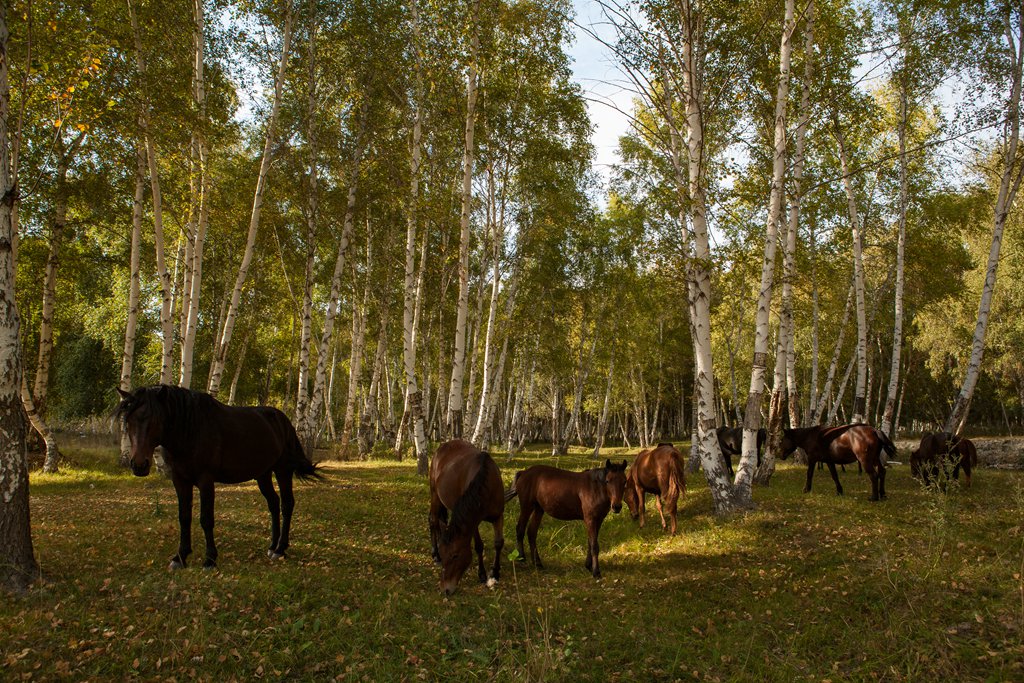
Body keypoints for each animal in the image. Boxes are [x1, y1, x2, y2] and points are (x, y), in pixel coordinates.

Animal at [115, 385, 319, 573]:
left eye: (155, 419)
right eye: (128, 421)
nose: (139, 465)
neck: (190, 431)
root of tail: (284, 421)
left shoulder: (206, 481)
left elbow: (206, 519)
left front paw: (210, 560)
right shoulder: (180, 481)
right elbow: (184, 517)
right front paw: (180, 557)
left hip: (283, 470)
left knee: (287, 504)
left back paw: (280, 549)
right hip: (263, 474)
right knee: (274, 503)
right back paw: (272, 546)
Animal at [425, 440, 505, 593]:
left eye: (455, 555)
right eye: (445, 555)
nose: (445, 589)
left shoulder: (498, 516)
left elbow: (498, 543)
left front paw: (495, 573)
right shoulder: (473, 522)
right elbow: (479, 545)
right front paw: (482, 574)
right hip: (434, 494)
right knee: (433, 520)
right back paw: (435, 554)